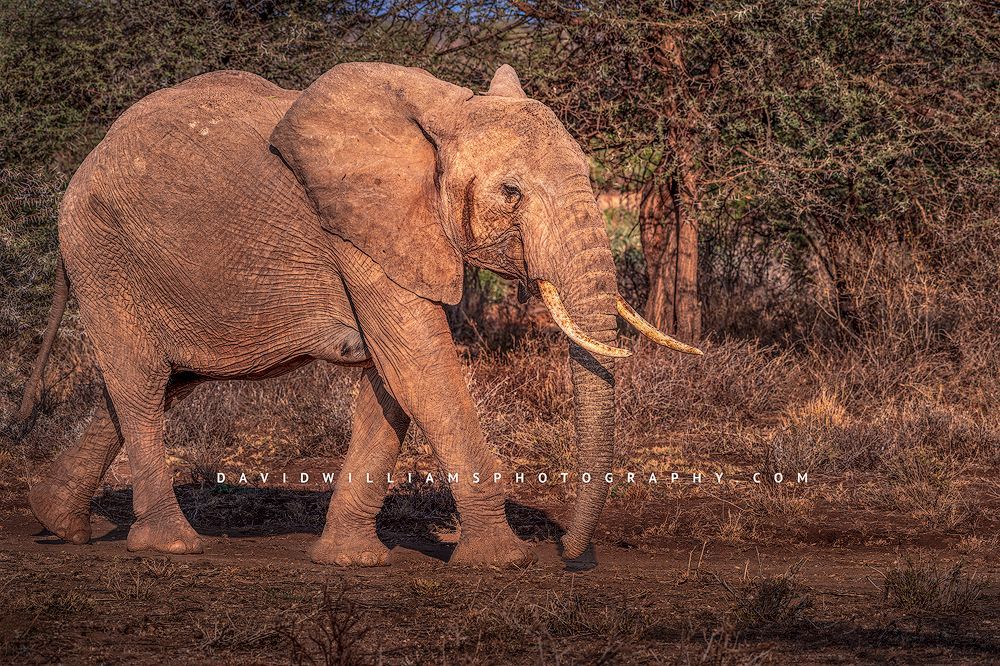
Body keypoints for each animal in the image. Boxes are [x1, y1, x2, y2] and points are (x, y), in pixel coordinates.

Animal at [17, 62, 700, 567]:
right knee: (139, 380)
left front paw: (350, 561)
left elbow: (391, 380)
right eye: (511, 193)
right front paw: (506, 562)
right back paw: (173, 545)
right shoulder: (359, 229)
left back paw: (60, 524)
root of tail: (85, 164)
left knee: (159, 382)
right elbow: (421, 366)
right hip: (105, 253)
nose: (566, 552)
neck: (448, 112)